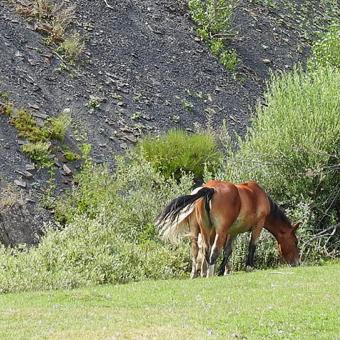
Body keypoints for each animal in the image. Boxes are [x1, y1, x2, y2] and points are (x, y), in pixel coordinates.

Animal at [157, 179, 300, 278]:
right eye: (295, 242)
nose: (297, 262)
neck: (257, 196)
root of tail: (210, 189)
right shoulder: (257, 226)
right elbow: (252, 246)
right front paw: (248, 267)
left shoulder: (233, 232)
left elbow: (228, 251)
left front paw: (222, 270)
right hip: (219, 231)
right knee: (214, 251)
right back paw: (209, 274)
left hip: (205, 230)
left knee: (204, 250)